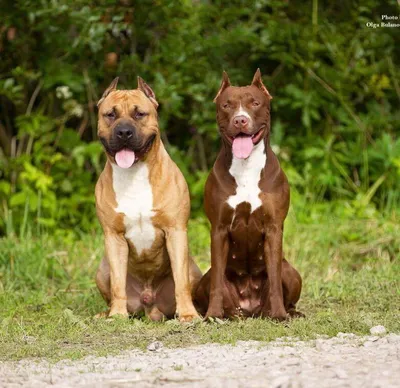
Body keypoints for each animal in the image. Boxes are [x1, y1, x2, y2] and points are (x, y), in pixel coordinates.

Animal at [93, 76, 200, 322]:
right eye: (110, 114)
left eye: (140, 114)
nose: (124, 132)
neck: (135, 173)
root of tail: (149, 303)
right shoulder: (113, 237)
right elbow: (117, 284)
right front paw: (117, 315)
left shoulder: (176, 231)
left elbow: (181, 282)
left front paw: (188, 315)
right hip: (101, 270)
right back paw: (105, 313)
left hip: (193, 269)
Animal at [195, 70, 302, 322]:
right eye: (226, 105)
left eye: (255, 103)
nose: (240, 120)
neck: (246, 168)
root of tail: (250, 308)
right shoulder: (219, 228)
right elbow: (216, 283)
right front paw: (213, 315)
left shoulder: (273, 228)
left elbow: (274, 278)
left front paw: (280, 315)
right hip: (204, 283)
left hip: (293, 273)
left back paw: (291, 312)